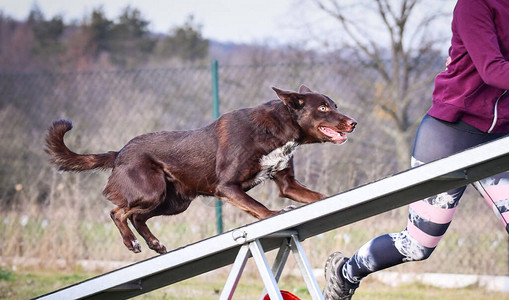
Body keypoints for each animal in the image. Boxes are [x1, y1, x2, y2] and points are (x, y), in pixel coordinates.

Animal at [45, 85, 356, 254]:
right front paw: (275, 215)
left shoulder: (287, 184)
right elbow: (258, 208)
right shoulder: (227, 187)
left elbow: (318, 197)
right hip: (152, 190)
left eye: (335, 105)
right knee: (118, 212)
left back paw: (155, 244)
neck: (278, 127)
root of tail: (119, 152)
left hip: (173, 202)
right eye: (324, 108)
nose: (353, 122)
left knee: (137, 217)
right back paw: (132, 243)